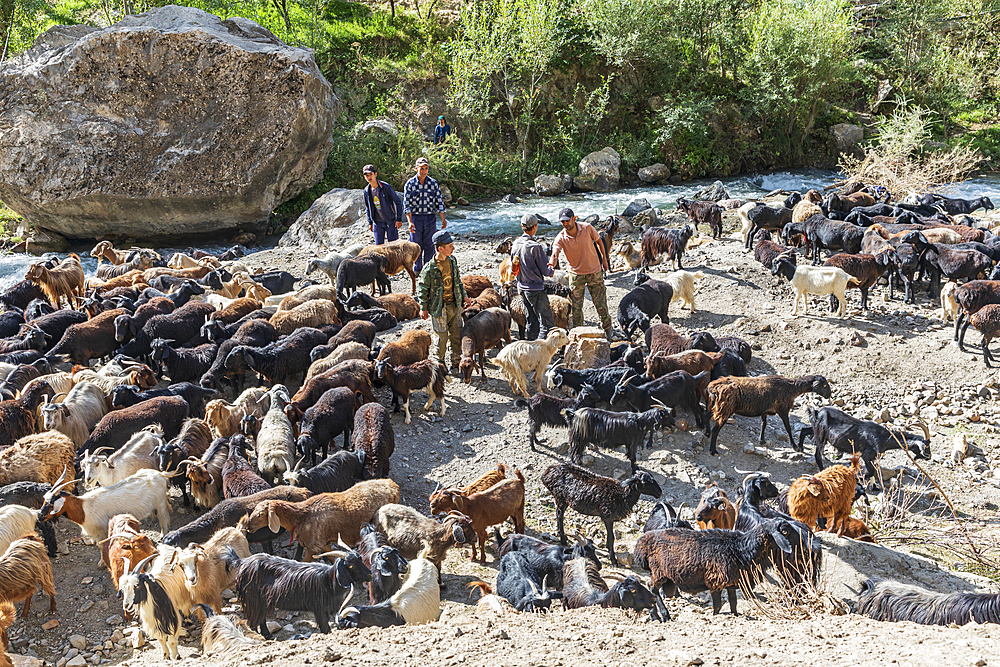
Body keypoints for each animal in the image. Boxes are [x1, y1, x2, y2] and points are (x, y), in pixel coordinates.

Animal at [41, 468, 173, 540]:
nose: (40, 516)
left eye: (51, 504)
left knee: (164, 518)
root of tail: (162, 474)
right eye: (44, 501)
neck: (83, 508)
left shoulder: (102, 530)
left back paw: (163, 535)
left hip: (160, 504)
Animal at [242, 478, 398, 560]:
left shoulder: (313, 547)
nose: (248, 527)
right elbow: (333, 559)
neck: (299, 517)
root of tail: (393, 486)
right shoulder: (324, 544)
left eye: (260, 514)